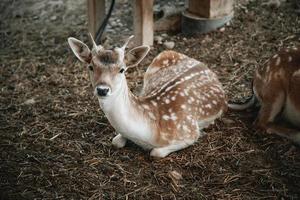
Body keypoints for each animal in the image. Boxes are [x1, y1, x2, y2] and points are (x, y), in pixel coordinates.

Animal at [68, 34, 227, 158]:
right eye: (90, 66)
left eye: (122, 69)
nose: (102, 89)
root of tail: (203, 64)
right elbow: (116, 141)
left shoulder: (190, 131)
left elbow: (156, 152)